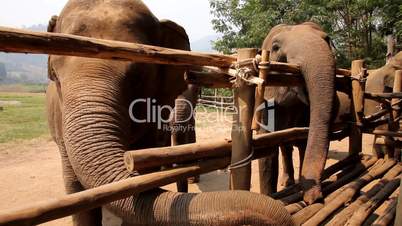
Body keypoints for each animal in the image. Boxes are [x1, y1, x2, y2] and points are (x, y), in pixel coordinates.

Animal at [258, 22, 336, 204]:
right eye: (275, 47)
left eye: (327, 40)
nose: (315, 198)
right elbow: (266, 147)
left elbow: (303, 141)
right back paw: (287, 183)